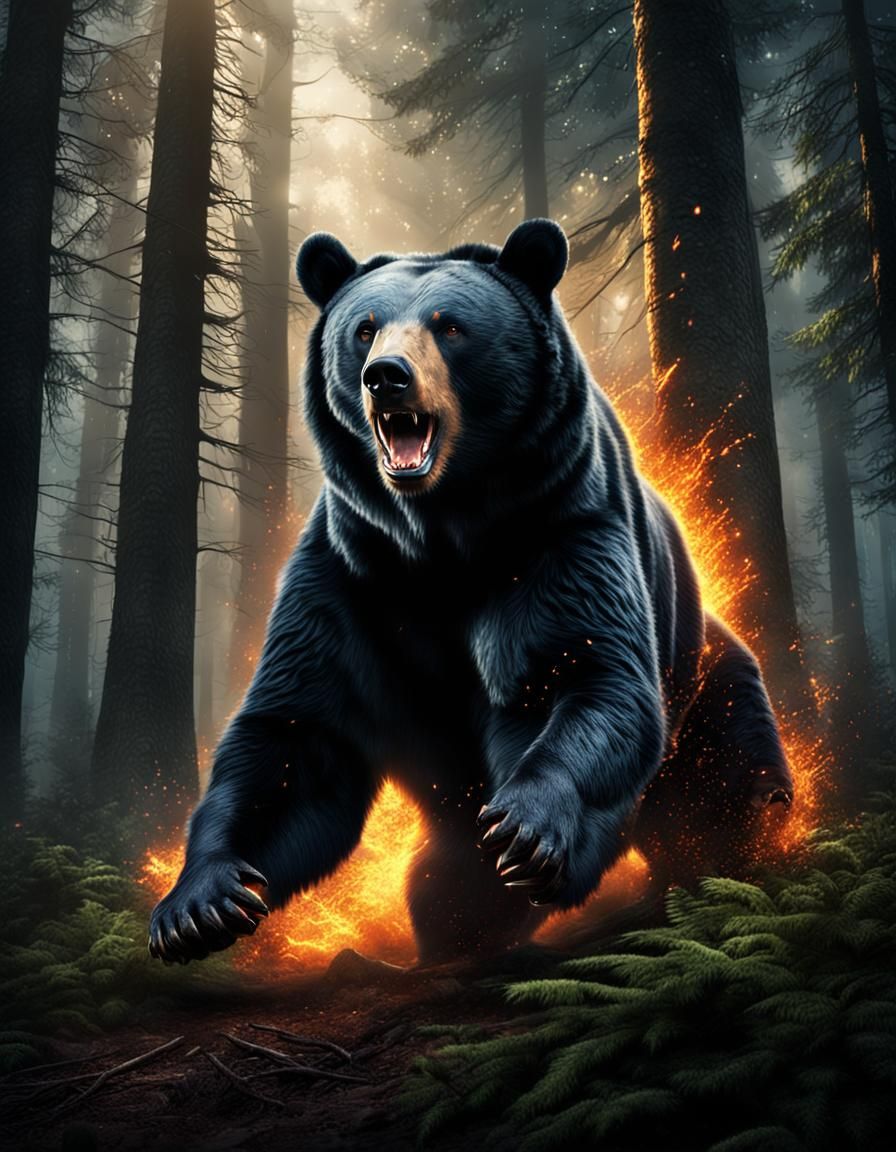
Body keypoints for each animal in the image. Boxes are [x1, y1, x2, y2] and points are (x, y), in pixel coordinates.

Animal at [148, 219, 793, 966]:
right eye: (363, 328)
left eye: (450, 327)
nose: (386, 378)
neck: (442, 534)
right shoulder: (353, 575)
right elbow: (297, 738)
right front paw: (199, 904)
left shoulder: (559, 531)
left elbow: (578, 673)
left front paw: (528, 830)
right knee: (442, 889)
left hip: (707, 693)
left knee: (722, 802)